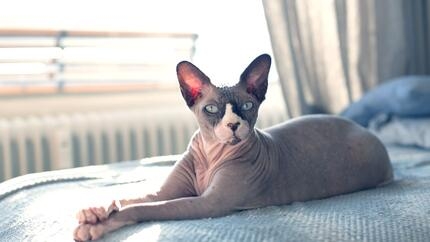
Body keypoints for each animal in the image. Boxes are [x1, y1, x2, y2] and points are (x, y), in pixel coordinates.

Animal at [73, 54, 394, 241]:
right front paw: (95, 211)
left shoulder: (208, 204)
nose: (233, 125)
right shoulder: (167, 191)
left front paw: (97, 225)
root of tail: (365, 129)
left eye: (248, 106)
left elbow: (147, 208)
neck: (210, 156)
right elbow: (134, 198)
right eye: (212, 109)